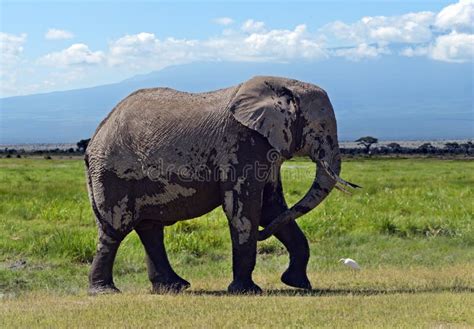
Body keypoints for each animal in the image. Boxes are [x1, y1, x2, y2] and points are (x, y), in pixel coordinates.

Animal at [85, 75, 360, 294]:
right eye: (320, 129)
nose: (262, 236)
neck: (283, 85)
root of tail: (93, 140)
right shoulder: (241, 145)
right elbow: (244, 210)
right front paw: (247, 291)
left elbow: (272, 209)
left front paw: (298, 284)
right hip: (112, 173)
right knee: (115, 228)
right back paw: (105, 291)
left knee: (149, 229)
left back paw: (174, 287)